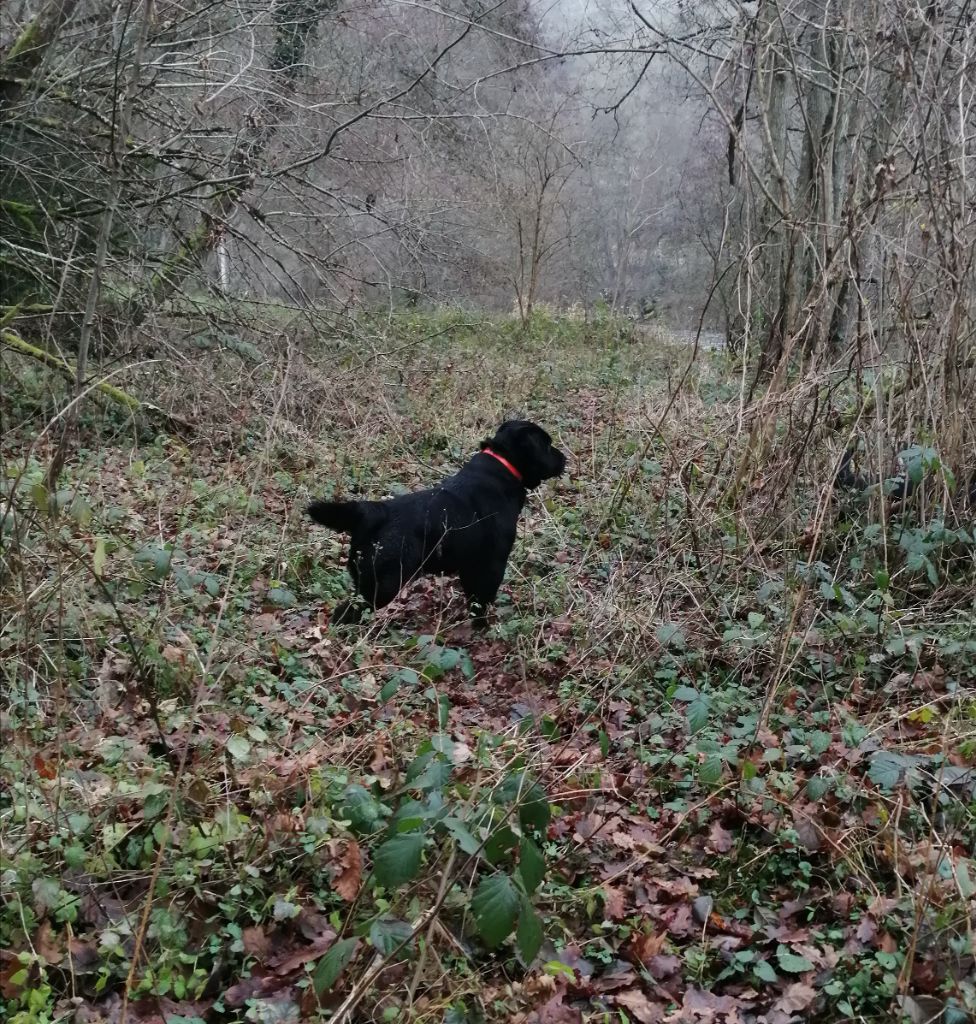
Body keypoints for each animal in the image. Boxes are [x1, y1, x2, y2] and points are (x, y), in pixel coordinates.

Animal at [307, 420, 566, 625]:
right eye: (546, 445)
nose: (564, 457)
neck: (503, 466)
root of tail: (372, 512)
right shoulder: (492, 563)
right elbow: (481, 601)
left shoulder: (470, 564)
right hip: (382, 586)